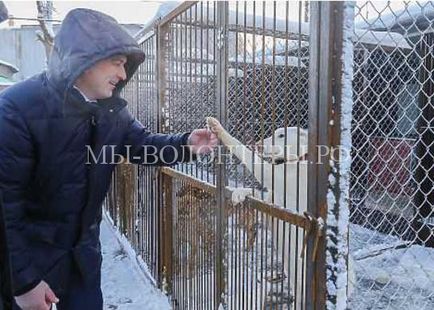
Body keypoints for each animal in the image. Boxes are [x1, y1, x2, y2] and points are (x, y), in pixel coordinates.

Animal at [205, 117, 354, 308]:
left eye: (281, 135)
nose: (258, 144)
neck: (295, 160)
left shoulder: (276, 176)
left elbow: (247, 155)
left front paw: (217, 127)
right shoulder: (272, 204)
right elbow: (258, 195)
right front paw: (238, 193)